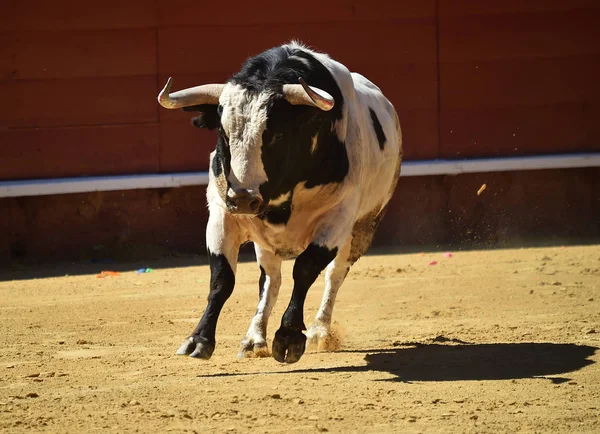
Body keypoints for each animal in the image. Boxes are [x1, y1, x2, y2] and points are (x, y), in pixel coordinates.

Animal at [158, 42, 404, 364]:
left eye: (276, 134)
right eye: (223, 132)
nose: (243, 198)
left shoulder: (336, 220)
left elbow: (305, 271)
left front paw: (289, 338)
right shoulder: (222, 215)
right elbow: (222, 278)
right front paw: (199, 339)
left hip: (363, 228)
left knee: (334, 276)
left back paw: (319, 332)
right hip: (264, 241)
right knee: (271, 279)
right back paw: (254, 337)